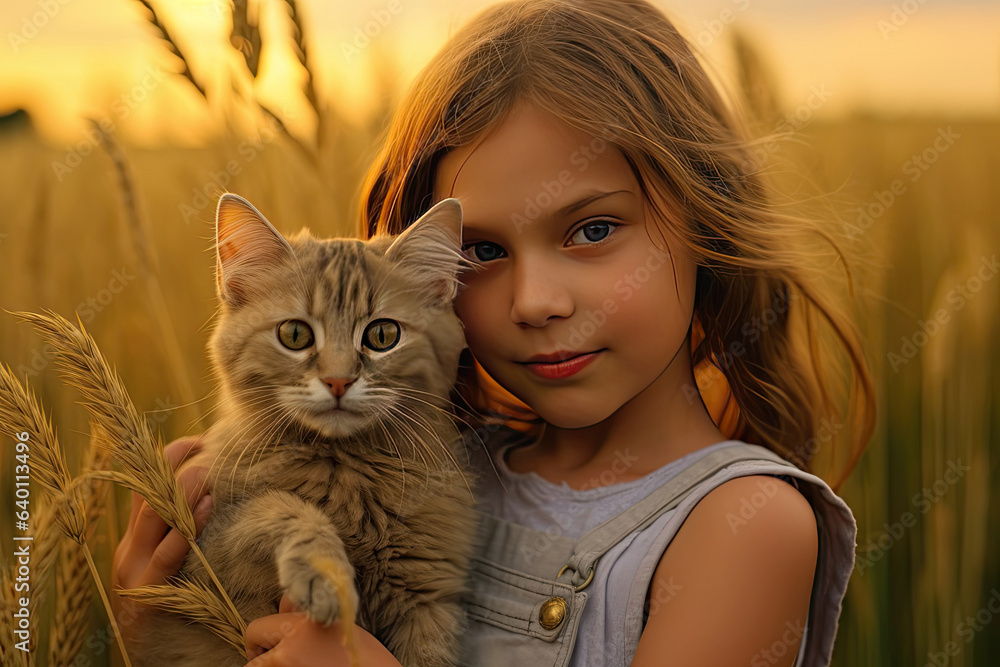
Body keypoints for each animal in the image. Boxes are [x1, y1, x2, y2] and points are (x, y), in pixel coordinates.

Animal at [132, 194, 480, 667]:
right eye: (295, 335)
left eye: (383, 335)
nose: (338, 381)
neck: (347, 471)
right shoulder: (205, 551)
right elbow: (281, 505)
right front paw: (328, 576)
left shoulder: (431, 602)